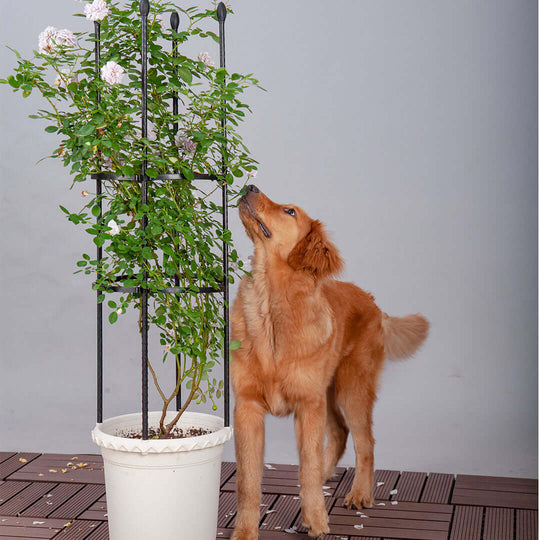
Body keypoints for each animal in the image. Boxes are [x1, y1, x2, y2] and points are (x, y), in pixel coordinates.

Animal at [230, 186, 428, 540]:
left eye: (290, 211)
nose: (249, 187)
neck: (270, 310)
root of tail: (374, 304)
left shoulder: (307, 405)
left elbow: (306, 469)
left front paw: (318, 521)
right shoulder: (248, 407)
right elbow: (248, 482)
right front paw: (245, 531)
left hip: (352, 389)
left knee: (365, 442)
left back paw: (359, 494)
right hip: (328, 393)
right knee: (340, 433)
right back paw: (326, 477)